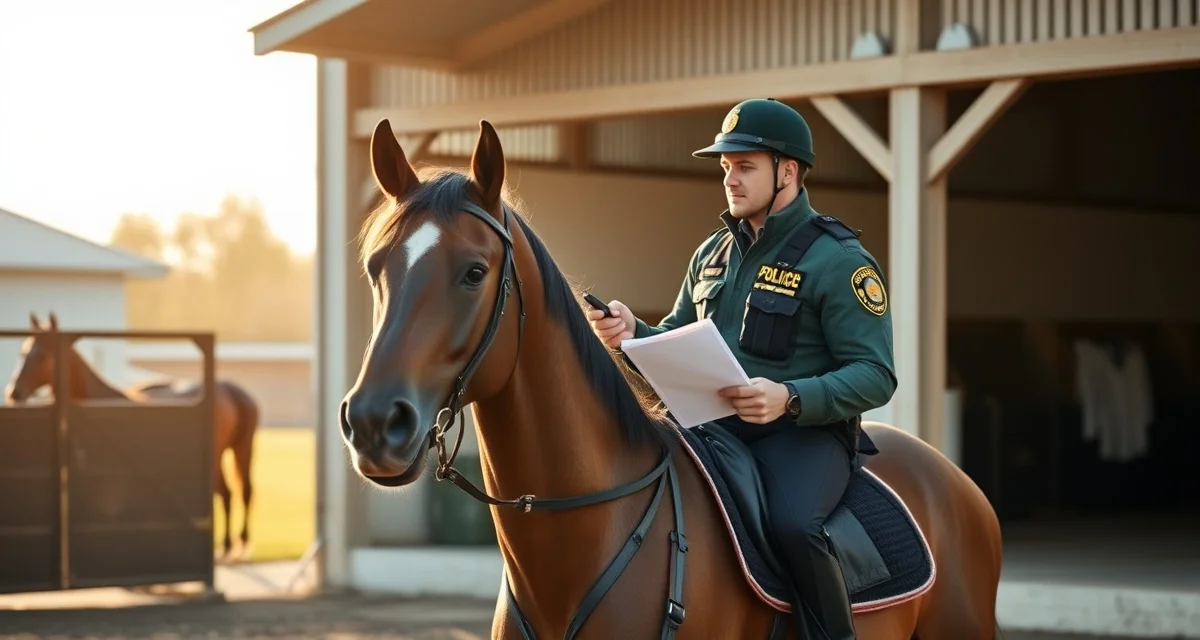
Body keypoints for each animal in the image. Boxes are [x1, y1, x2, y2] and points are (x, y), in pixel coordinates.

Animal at [4, 312, 261, 562]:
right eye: (23, 352)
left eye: (43, 356)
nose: (14, 392)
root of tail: (231, 390)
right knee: (229, 492)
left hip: (235, 450)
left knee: (237, 491)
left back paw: (233, 545)